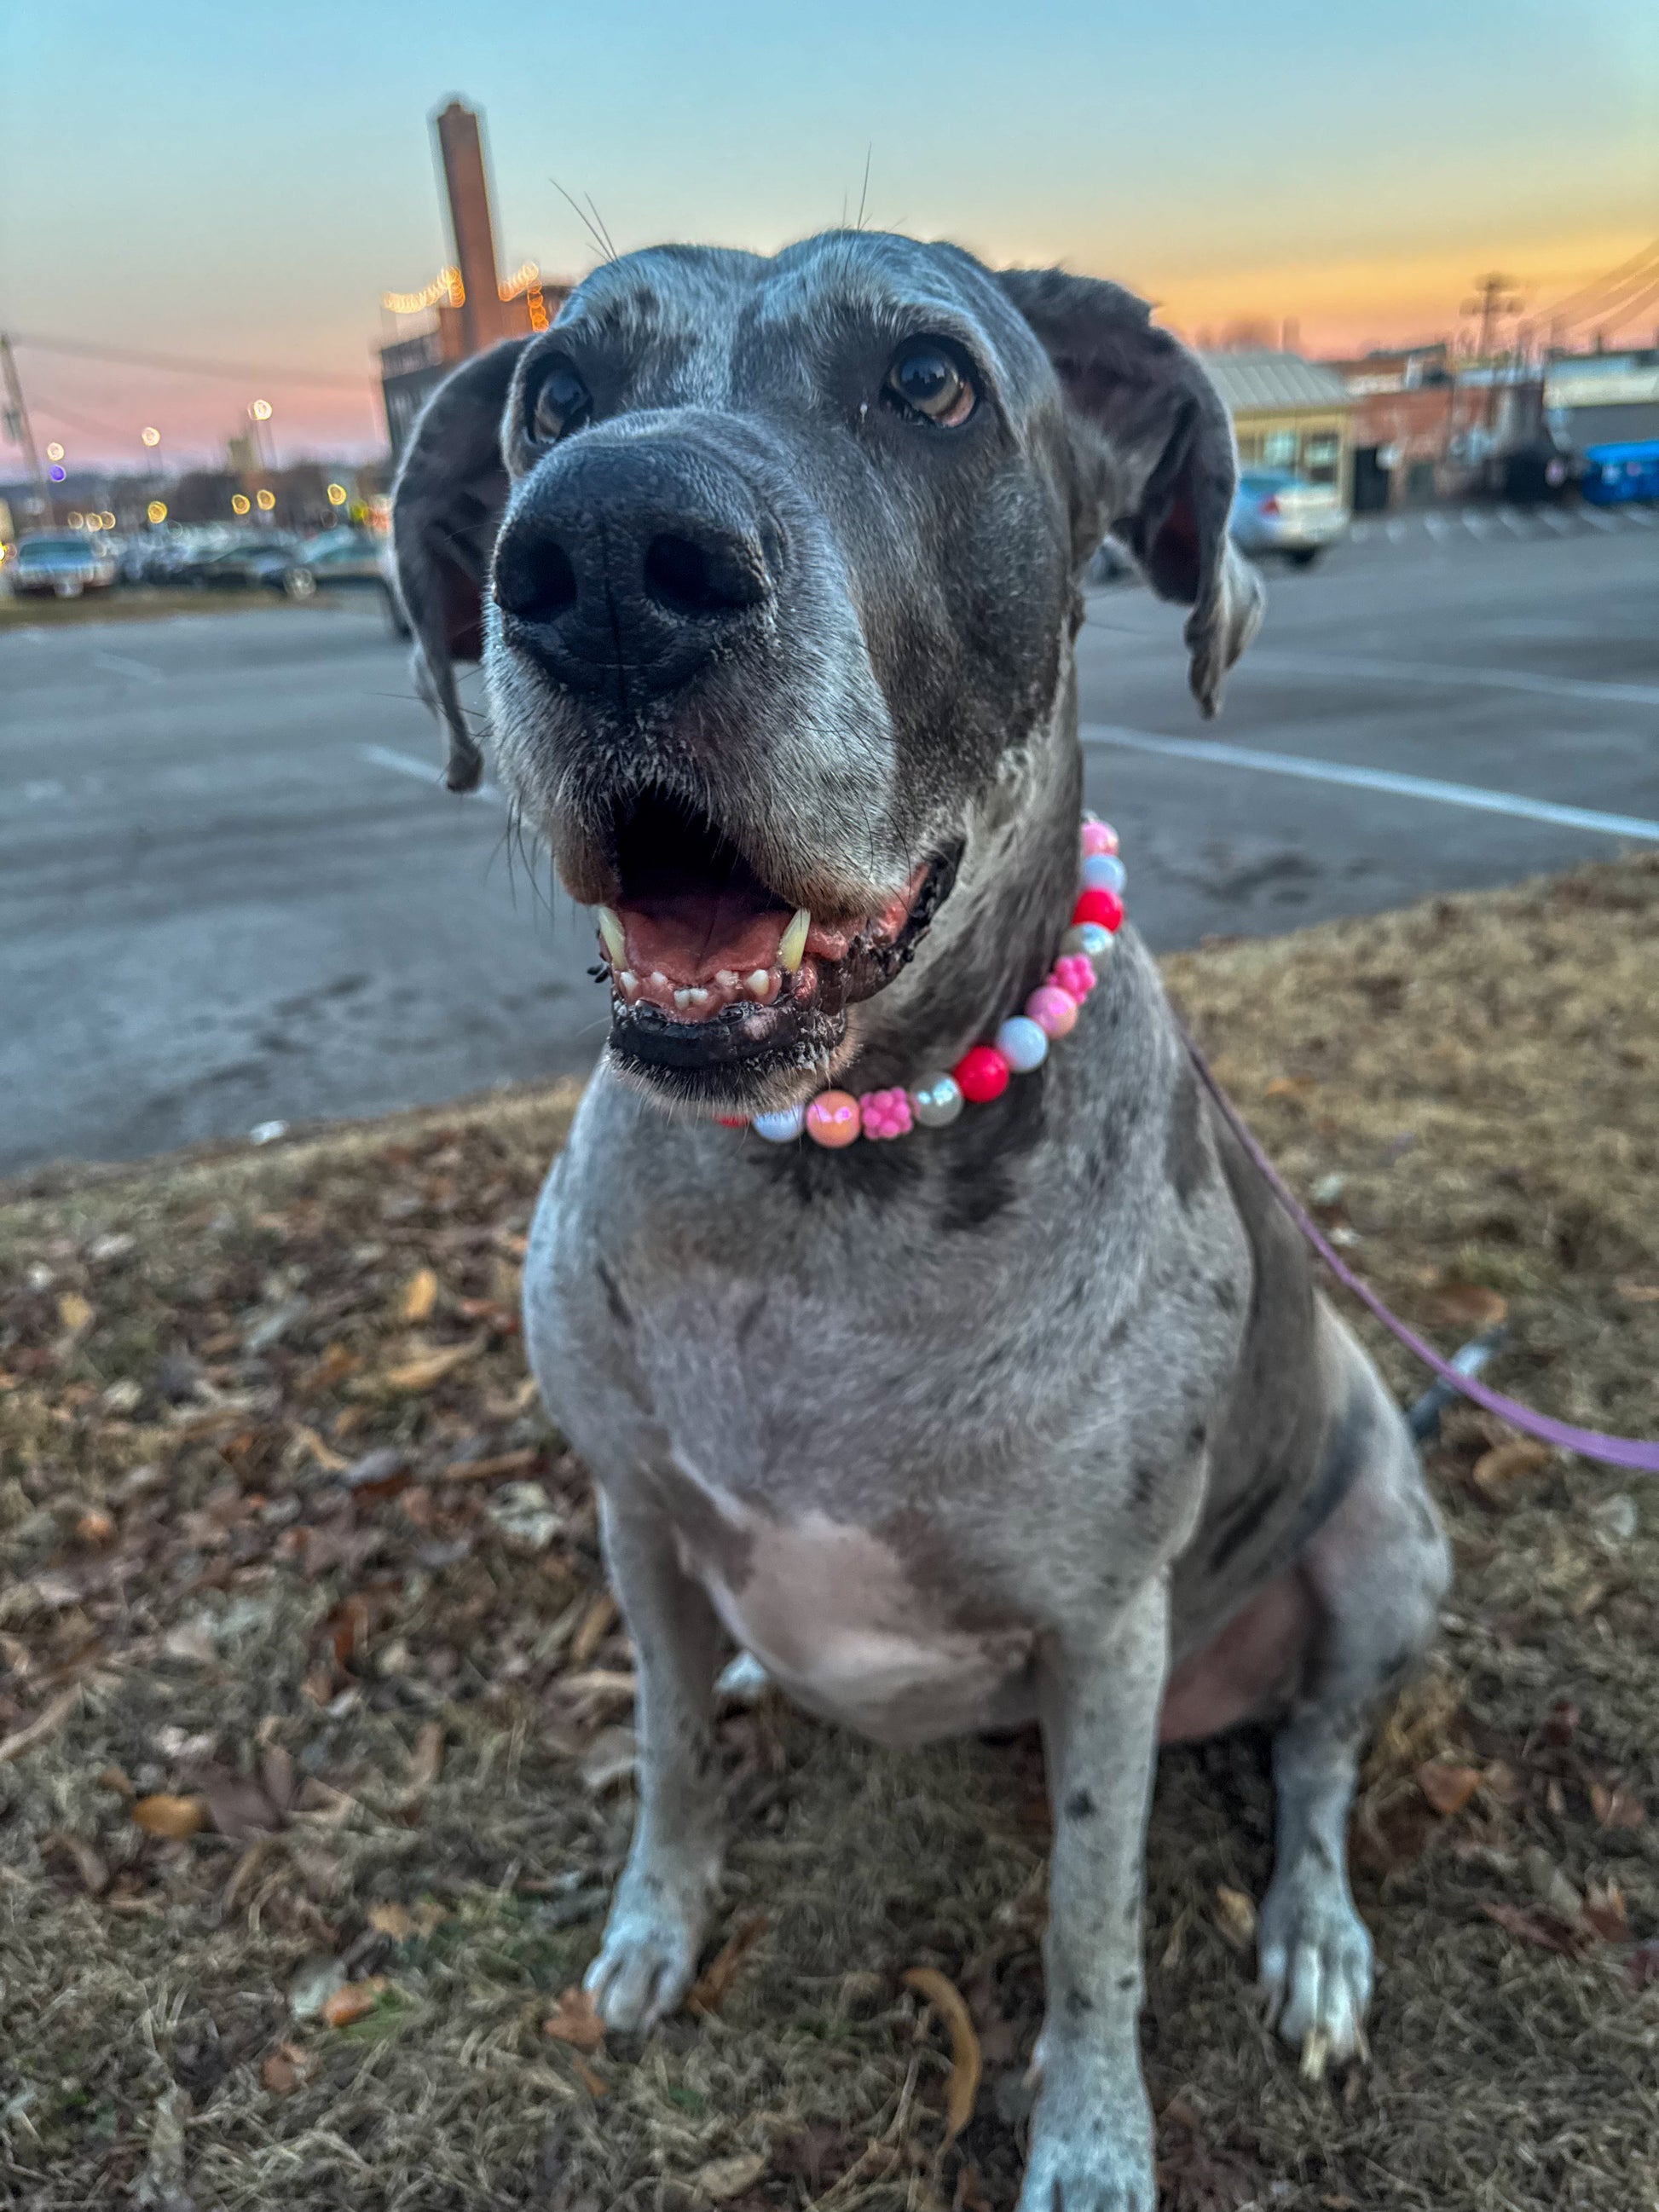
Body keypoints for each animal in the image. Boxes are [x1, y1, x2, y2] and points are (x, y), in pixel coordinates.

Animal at [392, 231, 1452, 2211]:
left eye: (931, 380)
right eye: (555, 391)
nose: (605, 559)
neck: (818, 1180)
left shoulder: (1103, 1635)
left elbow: (1092, 1917)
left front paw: (1091, 2140)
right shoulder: (632, 1514)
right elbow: (666, 1752)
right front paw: (654, 1924)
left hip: (1382, 1544)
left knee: (1322, 1762)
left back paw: (1315, 1931)